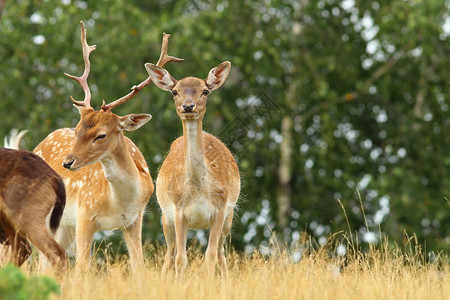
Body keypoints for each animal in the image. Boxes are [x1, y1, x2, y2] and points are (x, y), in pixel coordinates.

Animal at [32, 21, 183, 270]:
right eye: (77, 129)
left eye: (101, 135)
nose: (67, 162)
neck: (117, 203)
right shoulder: (84, 214)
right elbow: (82, 268)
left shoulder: (134, 220)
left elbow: (139, 267)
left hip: (62, 226)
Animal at [146, 60, 241, 278]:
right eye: (174, 91)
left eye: (205, 91)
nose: (188, 106)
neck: (198, 190)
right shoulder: (179, 211)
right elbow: (181, 259)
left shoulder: (220, 209)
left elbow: (210, 255)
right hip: (166, 218)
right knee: (170, 255)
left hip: (230, 217)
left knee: (221, 254)